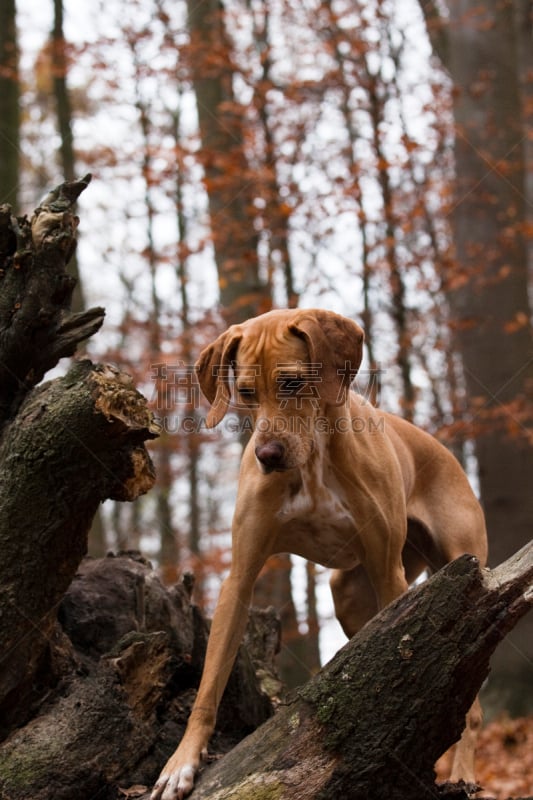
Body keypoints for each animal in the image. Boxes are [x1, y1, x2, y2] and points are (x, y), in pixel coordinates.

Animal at [151, 308, 486, 800]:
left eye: (293, 383)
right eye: (246, 392)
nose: (268, 455)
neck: (312, 459)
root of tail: (445, 452)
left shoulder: (388, 573)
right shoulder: (240, 578)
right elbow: (209, 683)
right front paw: (180, 763)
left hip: (458, 571)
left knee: (473, 703)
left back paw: (462, 771)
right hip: (348, 594)